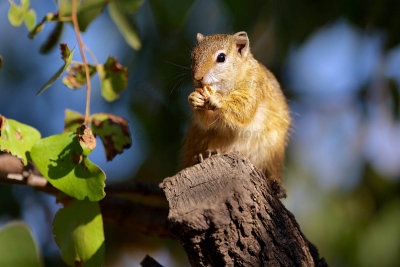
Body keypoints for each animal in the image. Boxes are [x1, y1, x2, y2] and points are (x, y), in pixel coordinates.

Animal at [182, 31, 290, 191]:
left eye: (221, 57)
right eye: (192, 57)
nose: (197, 77)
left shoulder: (254, 87)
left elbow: (243, 110)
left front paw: (218, 100)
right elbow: (206, 122)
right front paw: (194, 98)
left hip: (273, 151)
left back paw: (276, 184)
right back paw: (204, 155)